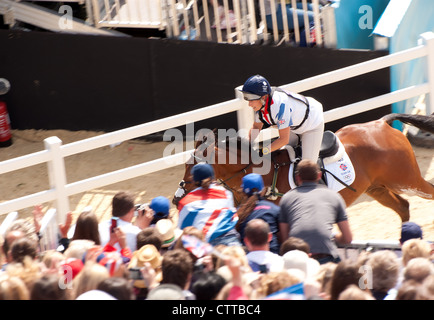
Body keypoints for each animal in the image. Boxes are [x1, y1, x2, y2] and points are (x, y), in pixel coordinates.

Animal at [174, 113, 434, 222]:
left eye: (193, 168)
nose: (177, 198)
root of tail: (382, 123)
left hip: (407, 180)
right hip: (377, 187)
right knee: (403, 207)